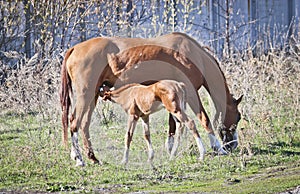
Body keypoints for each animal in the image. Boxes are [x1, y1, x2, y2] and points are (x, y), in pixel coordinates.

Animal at [59, 32, 243, 166]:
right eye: (238, 117)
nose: (233, 145)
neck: (193, 54)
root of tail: (75, 48)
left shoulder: (173, 97)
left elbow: (173, 124)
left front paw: (170, 148)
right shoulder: (191, 92)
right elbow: (203, 118)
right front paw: (218, 148)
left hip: (93, 96)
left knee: (84, 124)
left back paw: (92, 157)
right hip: (86, 95)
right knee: (74, 122)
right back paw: (79, 159)